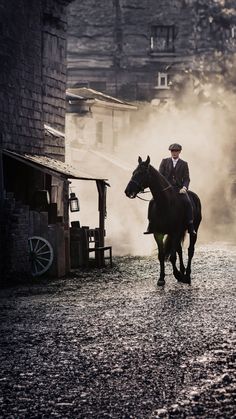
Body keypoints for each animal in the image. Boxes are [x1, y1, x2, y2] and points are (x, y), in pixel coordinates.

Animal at [124, 156, 202, 288]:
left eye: (141, 173)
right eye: (133, 172)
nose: (127, 191)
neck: (165, 204)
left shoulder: (175, 232)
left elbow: (172, 257)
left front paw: (178, 275)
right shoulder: (158, 233)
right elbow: (161, 256)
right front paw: (161, 278)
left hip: (193, 230)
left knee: (190, 250)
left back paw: (187, 276)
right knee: (179, 250)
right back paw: (183, 271)